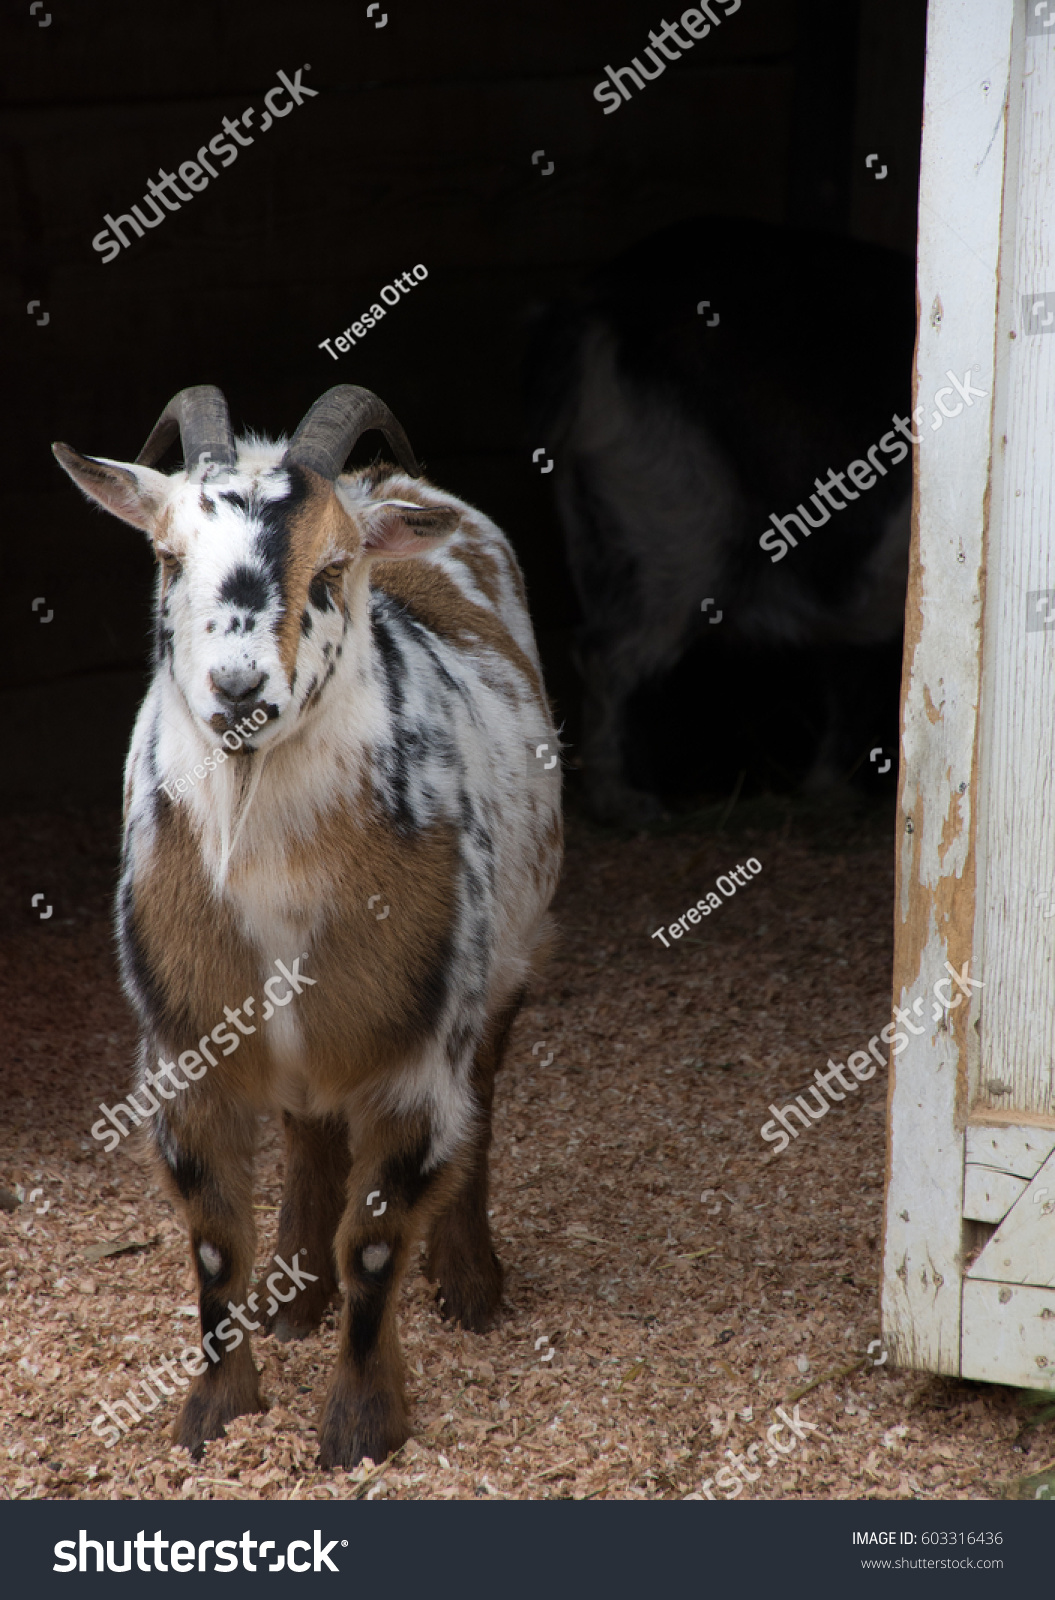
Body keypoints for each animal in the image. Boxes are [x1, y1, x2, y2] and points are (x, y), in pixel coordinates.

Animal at [51, 384, 560, 1465]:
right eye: (167, 558)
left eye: (331, 569)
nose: (240, 689)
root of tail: (392, 485)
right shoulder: (185, 1052)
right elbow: (214, 1239)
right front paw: (216, 1412)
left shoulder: (415, 1054)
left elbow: (374, 1238)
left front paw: (362, 1428)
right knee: (308, 1126)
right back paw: (294, 1298)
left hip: (507, 964)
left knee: (485, 1099)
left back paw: (470, 1285)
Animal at [528, 216, 915, 825]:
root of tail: (595, 307)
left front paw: (831, 793)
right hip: (679, 524)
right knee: (609, 652)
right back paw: (632, 806)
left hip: (602, 525)